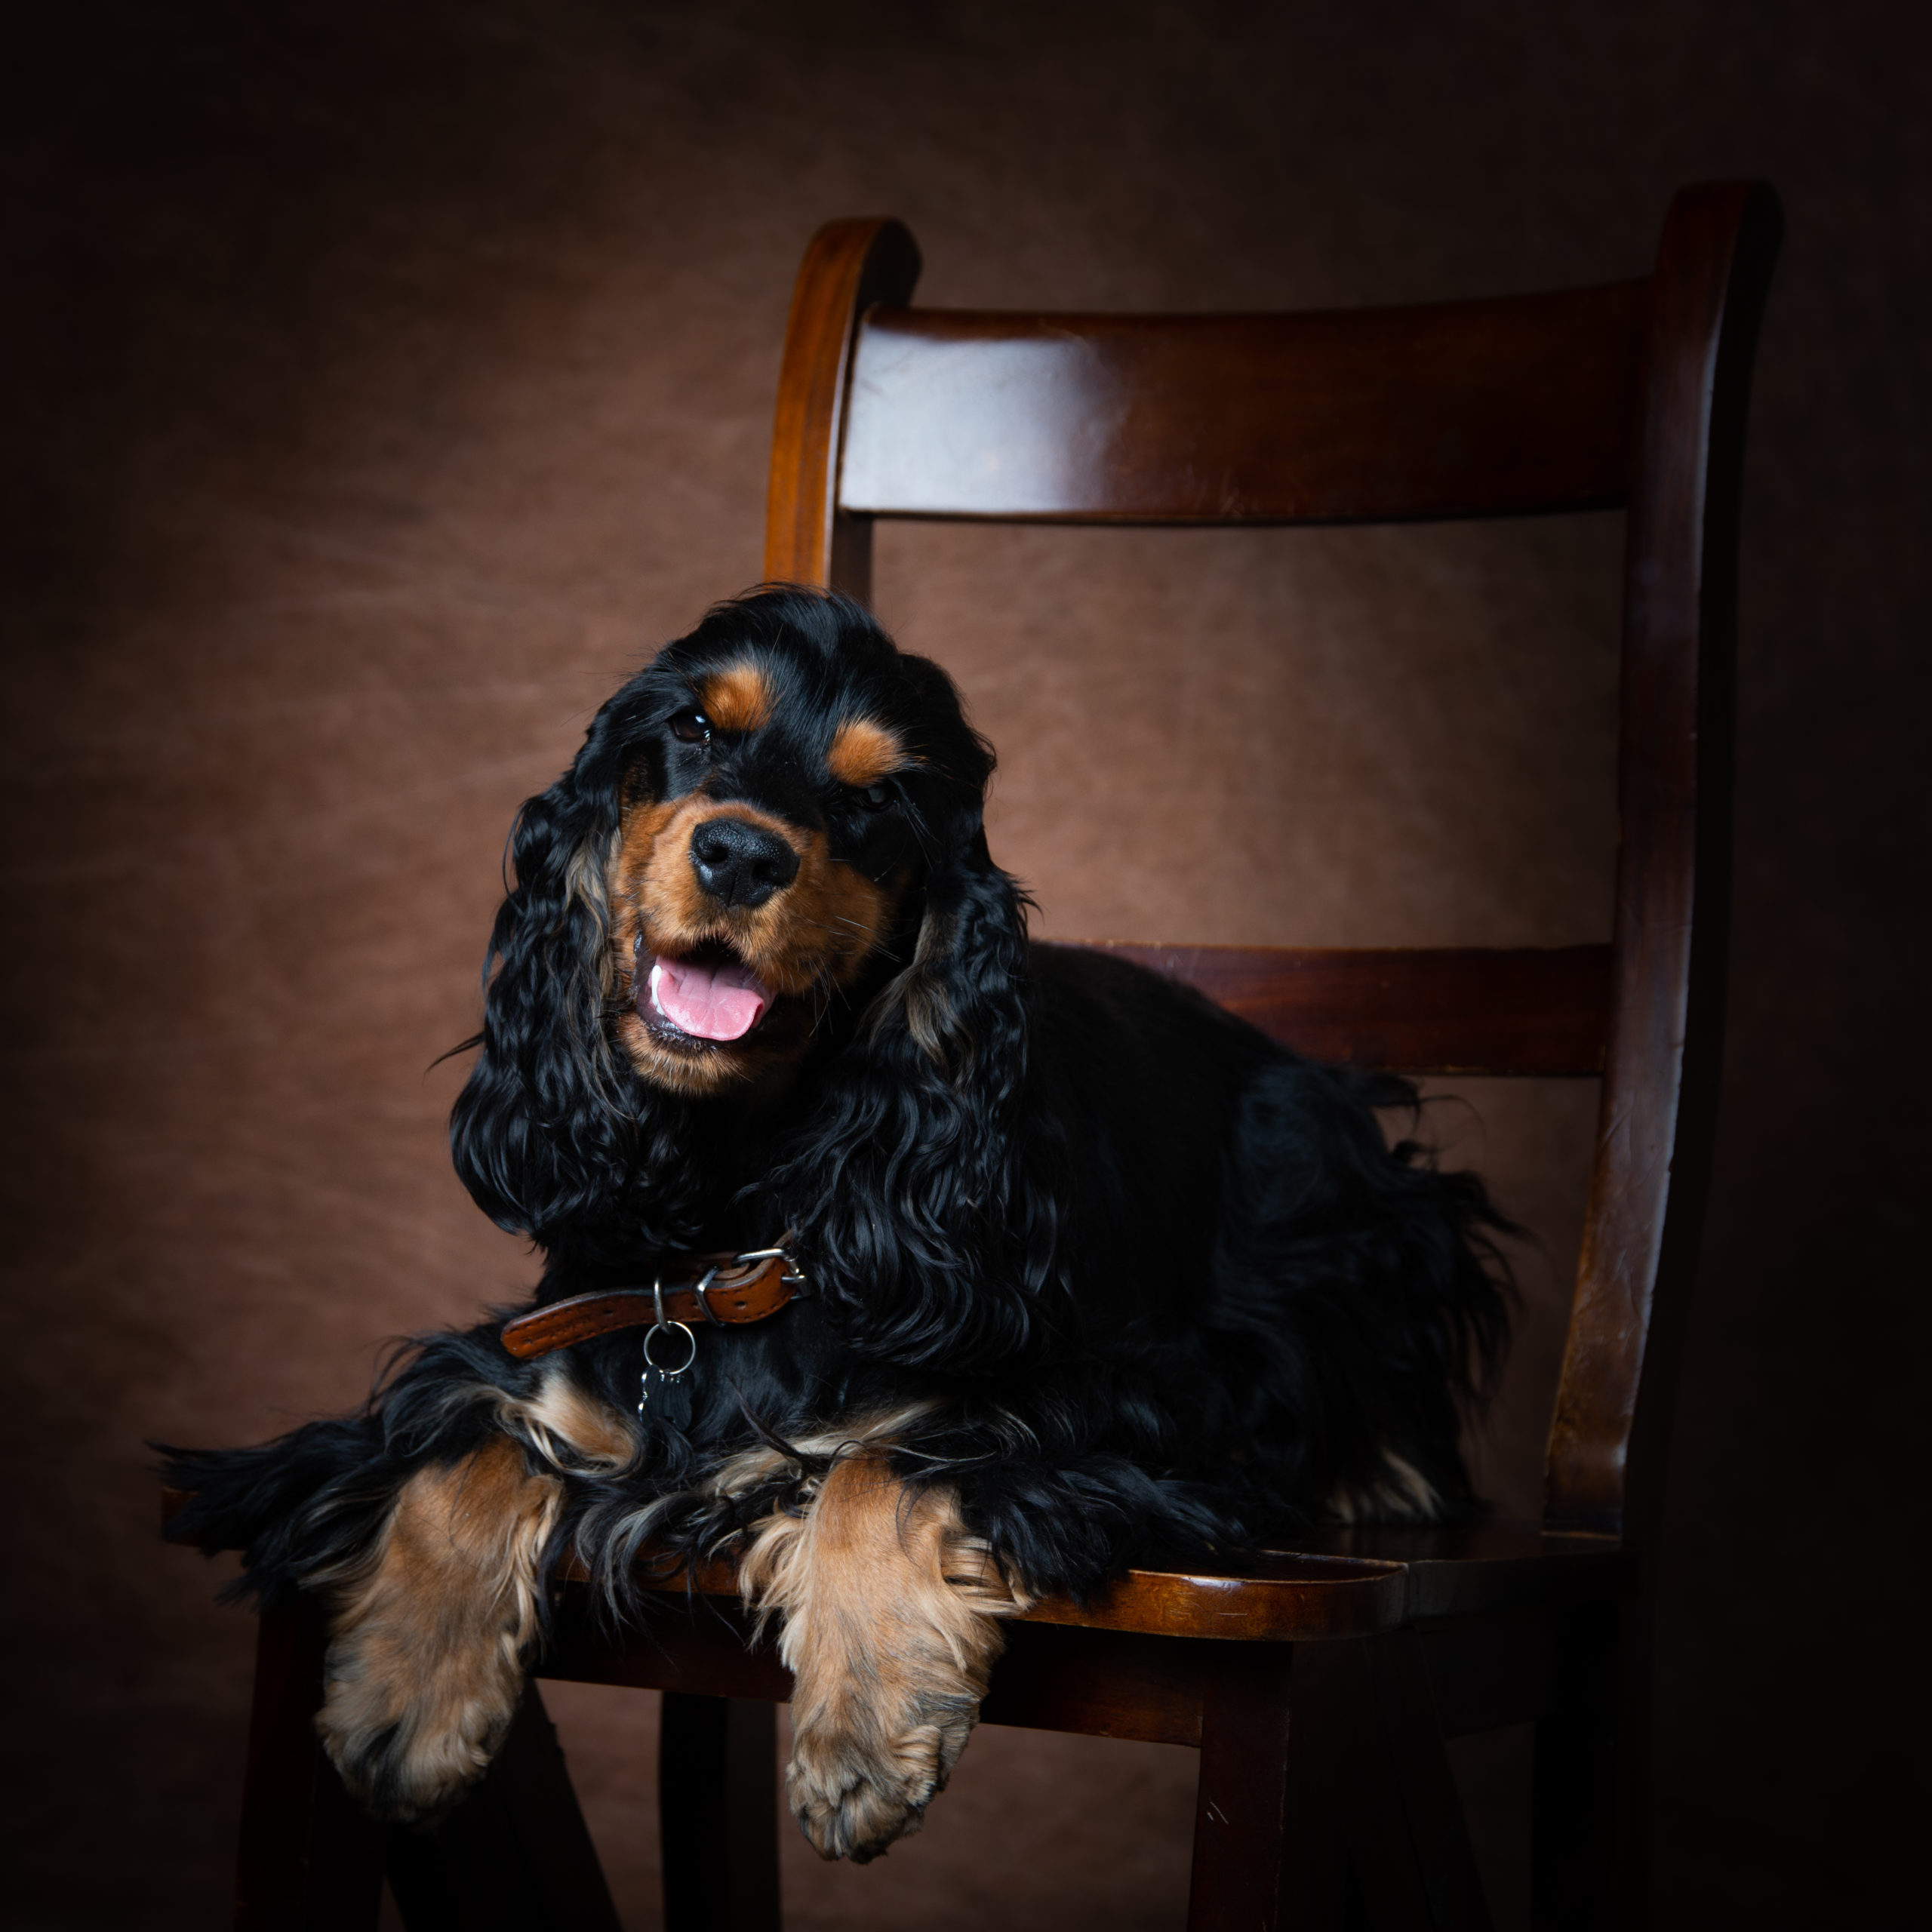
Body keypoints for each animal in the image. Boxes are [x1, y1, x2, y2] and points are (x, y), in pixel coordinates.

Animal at [166, 583, 1506, 1854]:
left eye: (875, 800)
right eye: (695, 729)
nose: (741, 857)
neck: (730, 1224)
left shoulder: (1143, 1403)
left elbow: (887, 1456)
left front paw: (865, 1730)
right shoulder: (543, 1352)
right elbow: (462, 1437)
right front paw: (407, 1698)